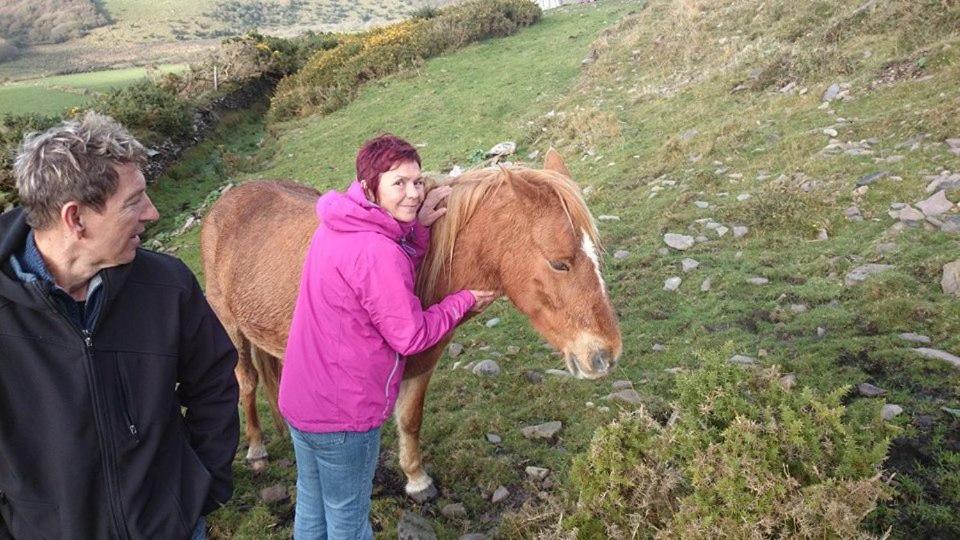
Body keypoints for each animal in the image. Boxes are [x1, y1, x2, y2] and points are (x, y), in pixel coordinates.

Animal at [202, 149, 624, 502]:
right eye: (559, 263)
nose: (606, 353)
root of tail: (226, 203)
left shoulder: (422, 360)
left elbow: (410, 418)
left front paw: (417, 480)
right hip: (231, 327)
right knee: (247, 382)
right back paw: (257, 448)